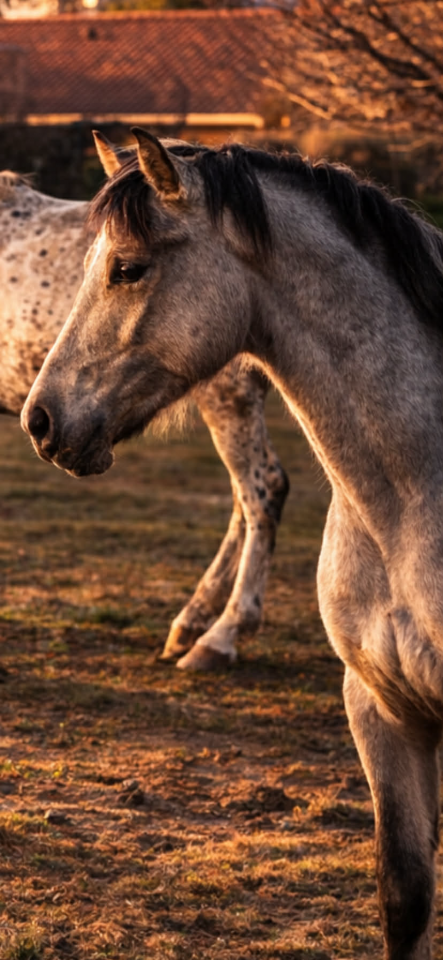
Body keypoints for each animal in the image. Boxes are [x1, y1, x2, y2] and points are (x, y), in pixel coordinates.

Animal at [0, 167, 288, 672]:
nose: (40, 421)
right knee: (245, 498)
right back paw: (193, 621)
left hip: (228, 399)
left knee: (263, 490)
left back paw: (221, 635)